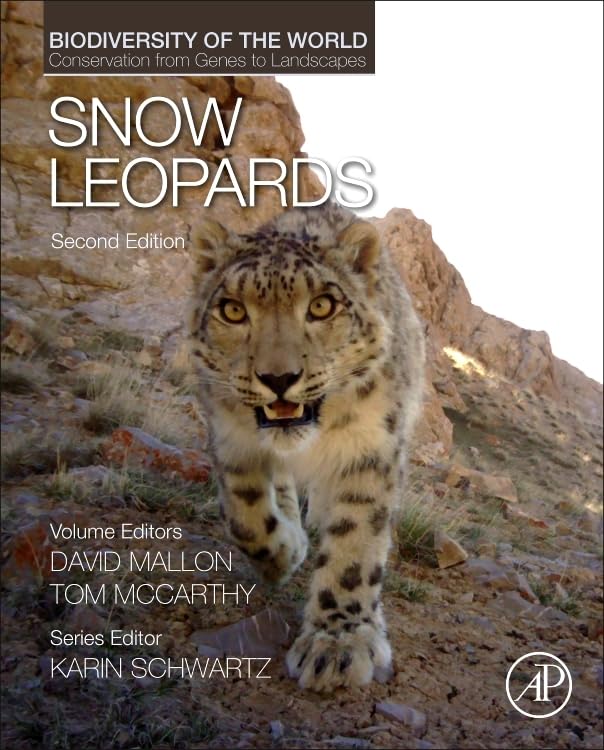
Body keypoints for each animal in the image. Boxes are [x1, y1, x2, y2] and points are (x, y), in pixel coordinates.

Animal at [187, 203, 425, 692]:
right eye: (232, 310)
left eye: (321, 306)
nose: (278, 378)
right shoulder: (230, 436)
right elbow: (244, 515)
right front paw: (282, 556)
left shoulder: (370, 450)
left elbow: (355, 545)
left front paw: (338, 644)